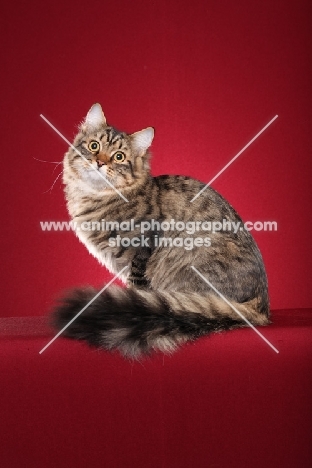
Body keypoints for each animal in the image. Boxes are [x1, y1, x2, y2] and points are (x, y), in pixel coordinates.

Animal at [52, 103, 270, 358]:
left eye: (119, 156)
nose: (100, 162)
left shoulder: (138, 250)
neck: (94, 197)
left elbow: (137, 288)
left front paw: (135, 305)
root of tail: (262, 306)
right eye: (94, 146)